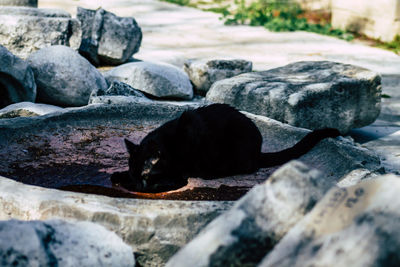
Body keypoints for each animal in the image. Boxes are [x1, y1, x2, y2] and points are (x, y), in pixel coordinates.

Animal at [111, 103, 340, 194]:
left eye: (146, 176)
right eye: (134, 174)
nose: (139, 186)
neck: (168, 145)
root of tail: (258, 149)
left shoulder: (179, 175)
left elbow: (165, 182)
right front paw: (119, 176)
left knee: (246, 167)